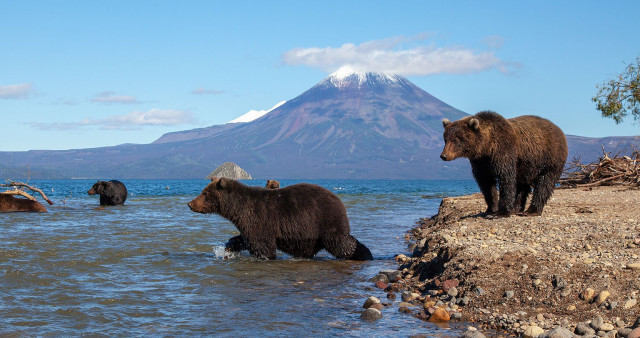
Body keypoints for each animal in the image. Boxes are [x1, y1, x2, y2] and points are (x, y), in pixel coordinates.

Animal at [188, 178, 372, 260]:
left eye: (204, 193)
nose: (190, 203)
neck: (237, 209)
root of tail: (339, 201)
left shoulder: (260, 218)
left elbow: (262, 246)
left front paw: (265, 257)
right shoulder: (249, 224)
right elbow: (244, 238)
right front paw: (228, 248)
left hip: (326, 222)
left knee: (343, 243)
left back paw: (364, 254)